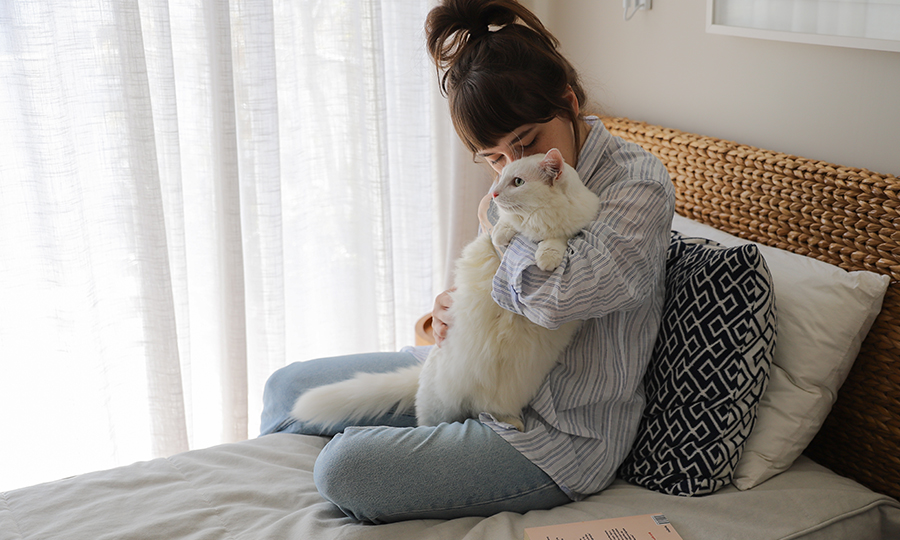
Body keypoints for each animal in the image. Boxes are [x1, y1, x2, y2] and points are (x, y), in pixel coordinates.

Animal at [294, 150, 596, 432]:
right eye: (501, 178)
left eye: (518, 182)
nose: (494, 193)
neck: (542, 220)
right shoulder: (495, 237)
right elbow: (505, 228)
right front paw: (508, 234)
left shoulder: (570, 229)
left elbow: (557, 239)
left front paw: (547, 256)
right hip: (438, 407)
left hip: (502, 398)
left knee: (496, 412)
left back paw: (512, 423)